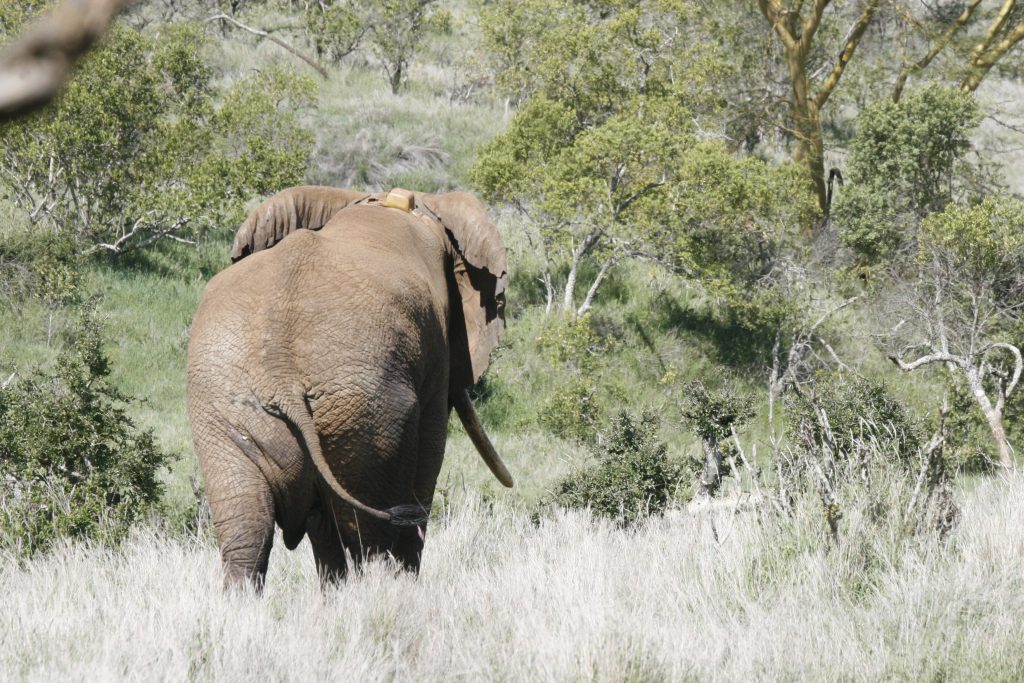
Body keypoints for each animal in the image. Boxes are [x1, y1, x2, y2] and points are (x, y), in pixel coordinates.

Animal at [186, 186, 513, 589]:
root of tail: (281, 370)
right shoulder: (436, 360)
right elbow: (428, 459)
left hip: (228, 408)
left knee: (247, 534)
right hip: (366, 411)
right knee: (369, 537)